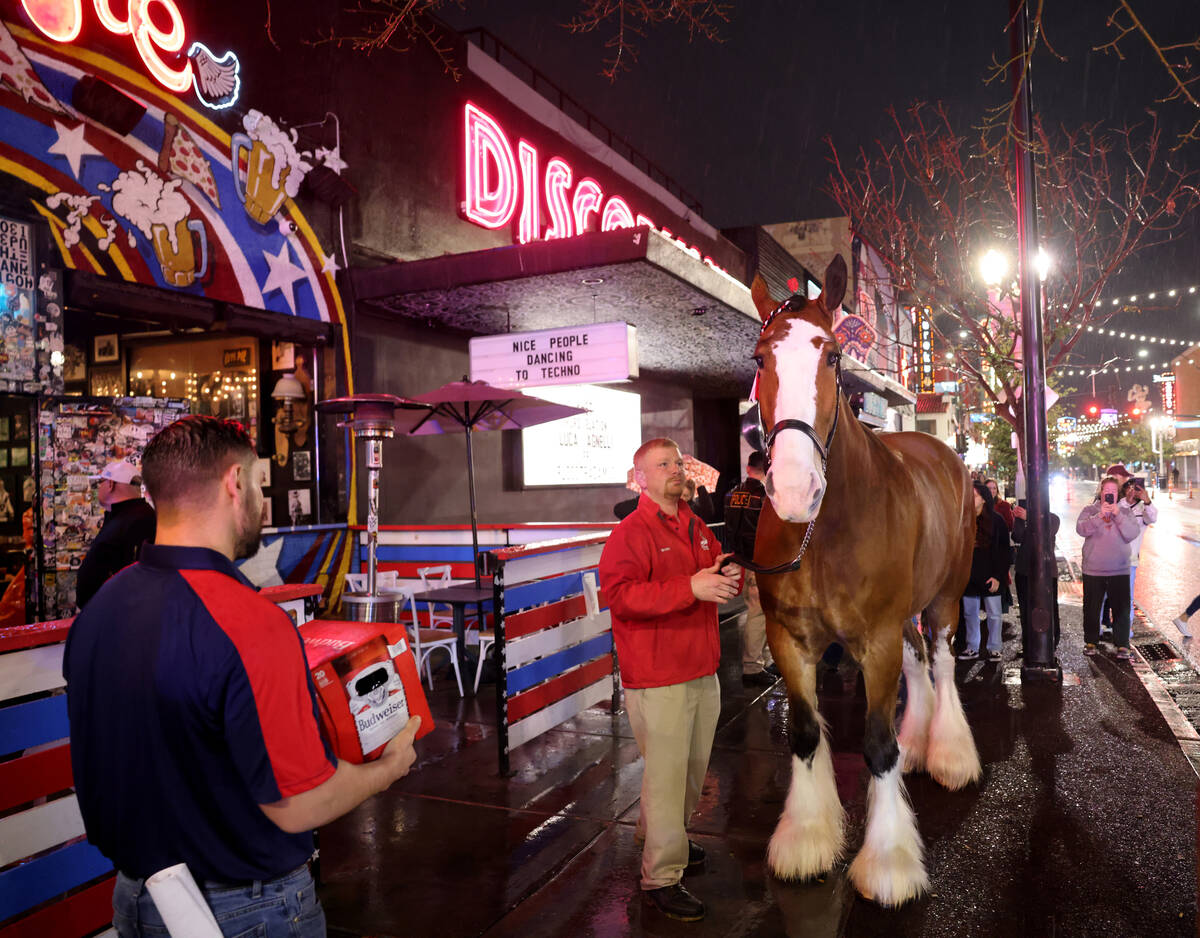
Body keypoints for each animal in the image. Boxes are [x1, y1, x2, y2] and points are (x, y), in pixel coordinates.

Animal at [753, 256, 979, 911]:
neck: (822, 531)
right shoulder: (788, 639)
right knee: (917, 658)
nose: (794, 488)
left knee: (942, 661)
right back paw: (921, 742)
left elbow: (877, 747)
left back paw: (950, 751)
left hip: (945, 596)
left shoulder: (874, 638)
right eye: (759, 358)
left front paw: (888, 862)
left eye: (831, 356)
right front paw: (805, 837)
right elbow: (805, 733)